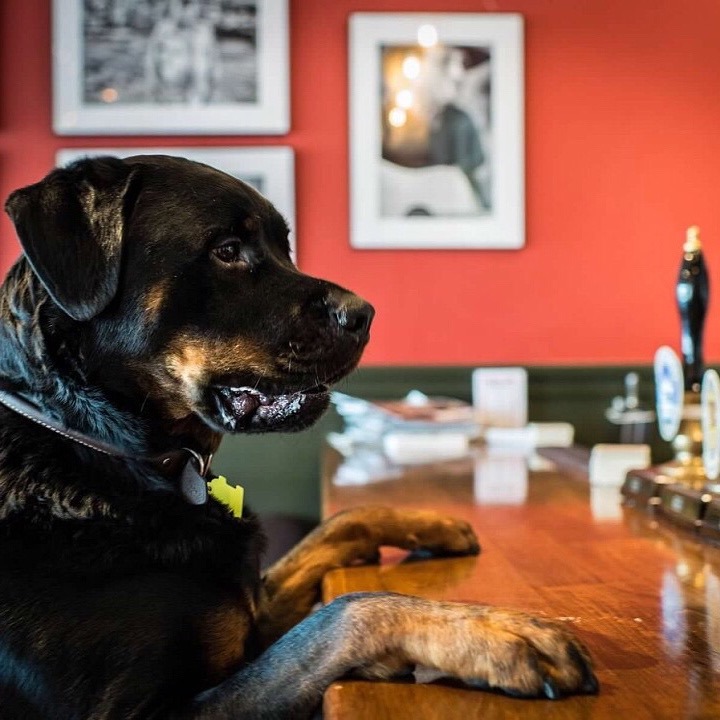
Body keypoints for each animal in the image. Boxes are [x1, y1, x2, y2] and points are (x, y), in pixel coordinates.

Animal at [0, 155, 596, 716]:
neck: (100, 447)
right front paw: (492, 632)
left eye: (285, 249)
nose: (365, 314)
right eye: (228, 250)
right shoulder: (149, 709)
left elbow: (339, 526)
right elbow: (347, 613)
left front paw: (429, 522)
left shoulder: (253, 605)